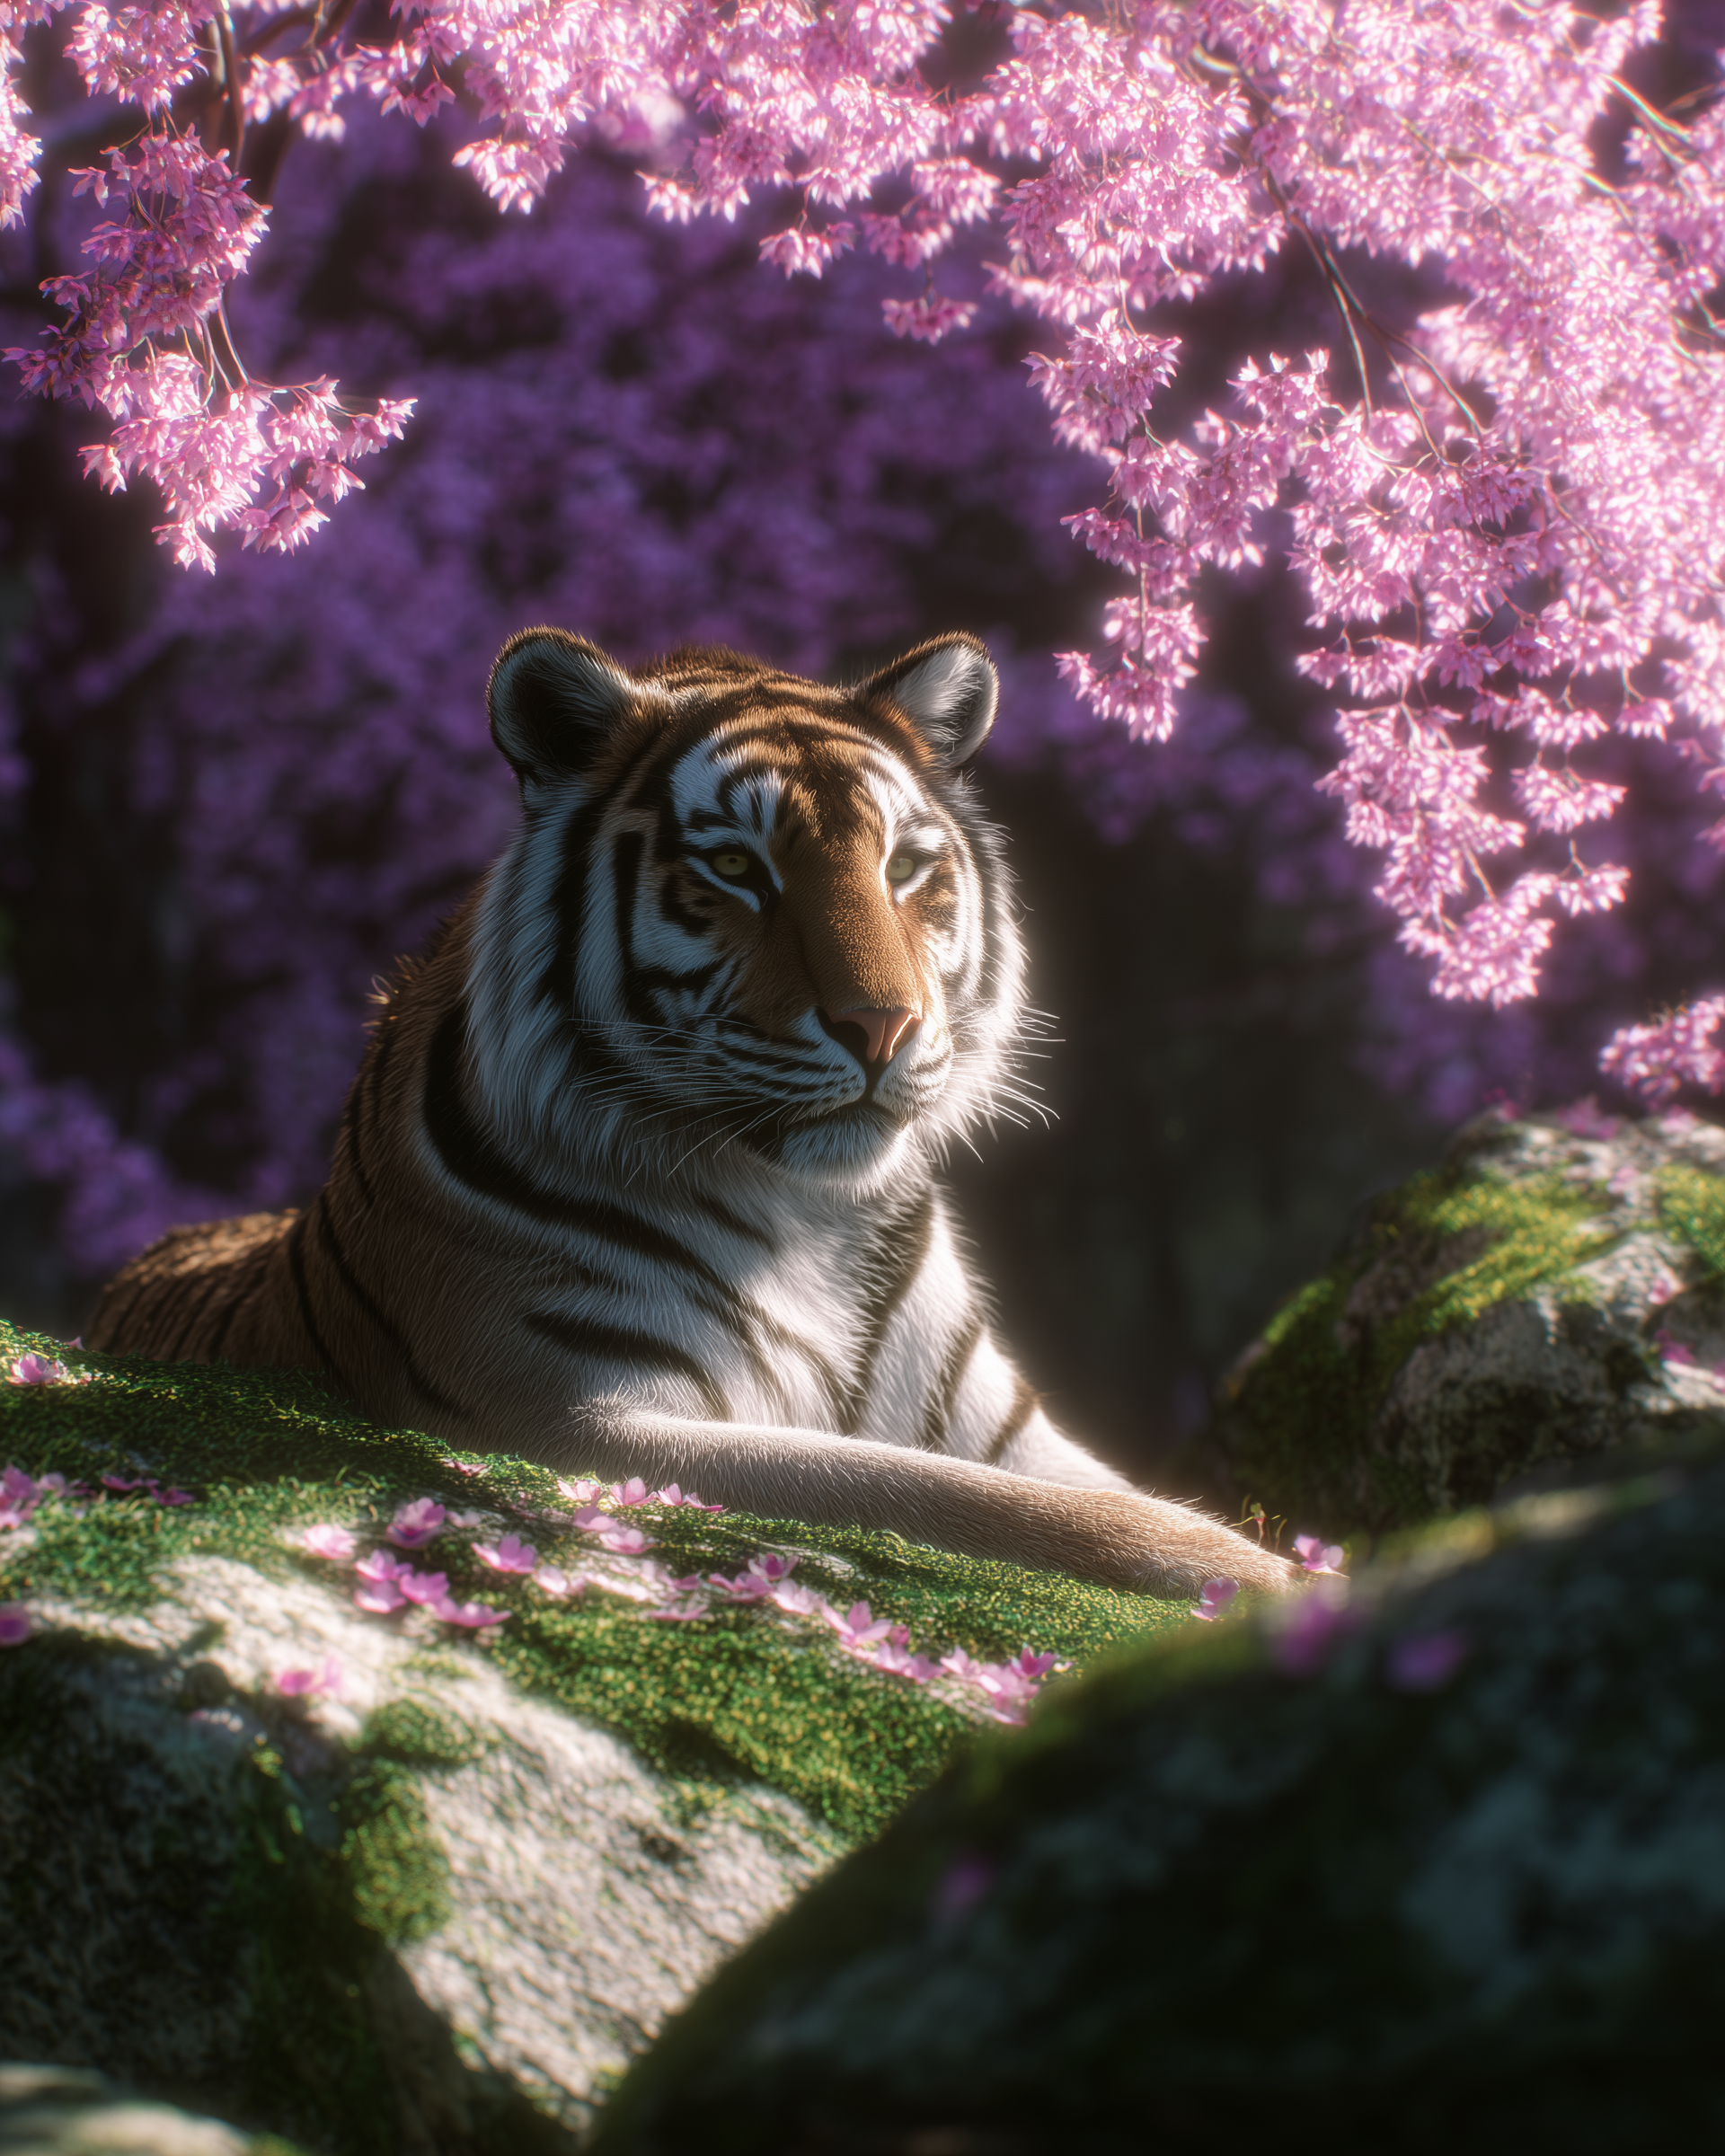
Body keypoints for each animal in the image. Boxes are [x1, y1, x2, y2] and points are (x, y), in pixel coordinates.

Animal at [88, 628, 1291, 1598]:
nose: (883, 1027)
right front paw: (1272, 1581)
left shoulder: (1002, 1424)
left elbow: (1078, 1489)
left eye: (906, 867)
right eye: (734, 865)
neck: (816, 1217)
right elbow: (985, 1503)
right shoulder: (574, 1410)